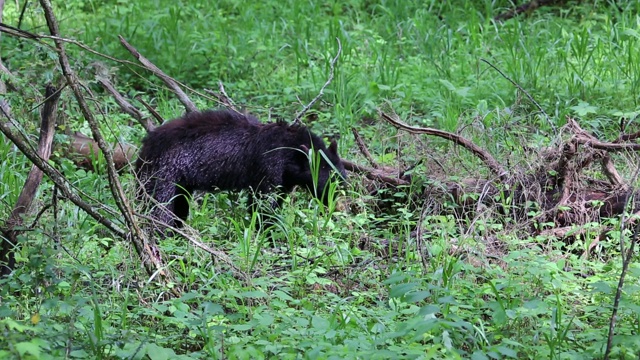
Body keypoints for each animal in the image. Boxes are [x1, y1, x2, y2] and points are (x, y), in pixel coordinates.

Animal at [134, 109, 344, 232]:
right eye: (329, 182)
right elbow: (262, 207)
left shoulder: (283, 183)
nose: (335, 208)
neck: (289, 152)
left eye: (342, 182)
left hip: (180, 187)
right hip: (162, 180)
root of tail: (143, 151)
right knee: (158, 212)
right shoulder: (267, 173)